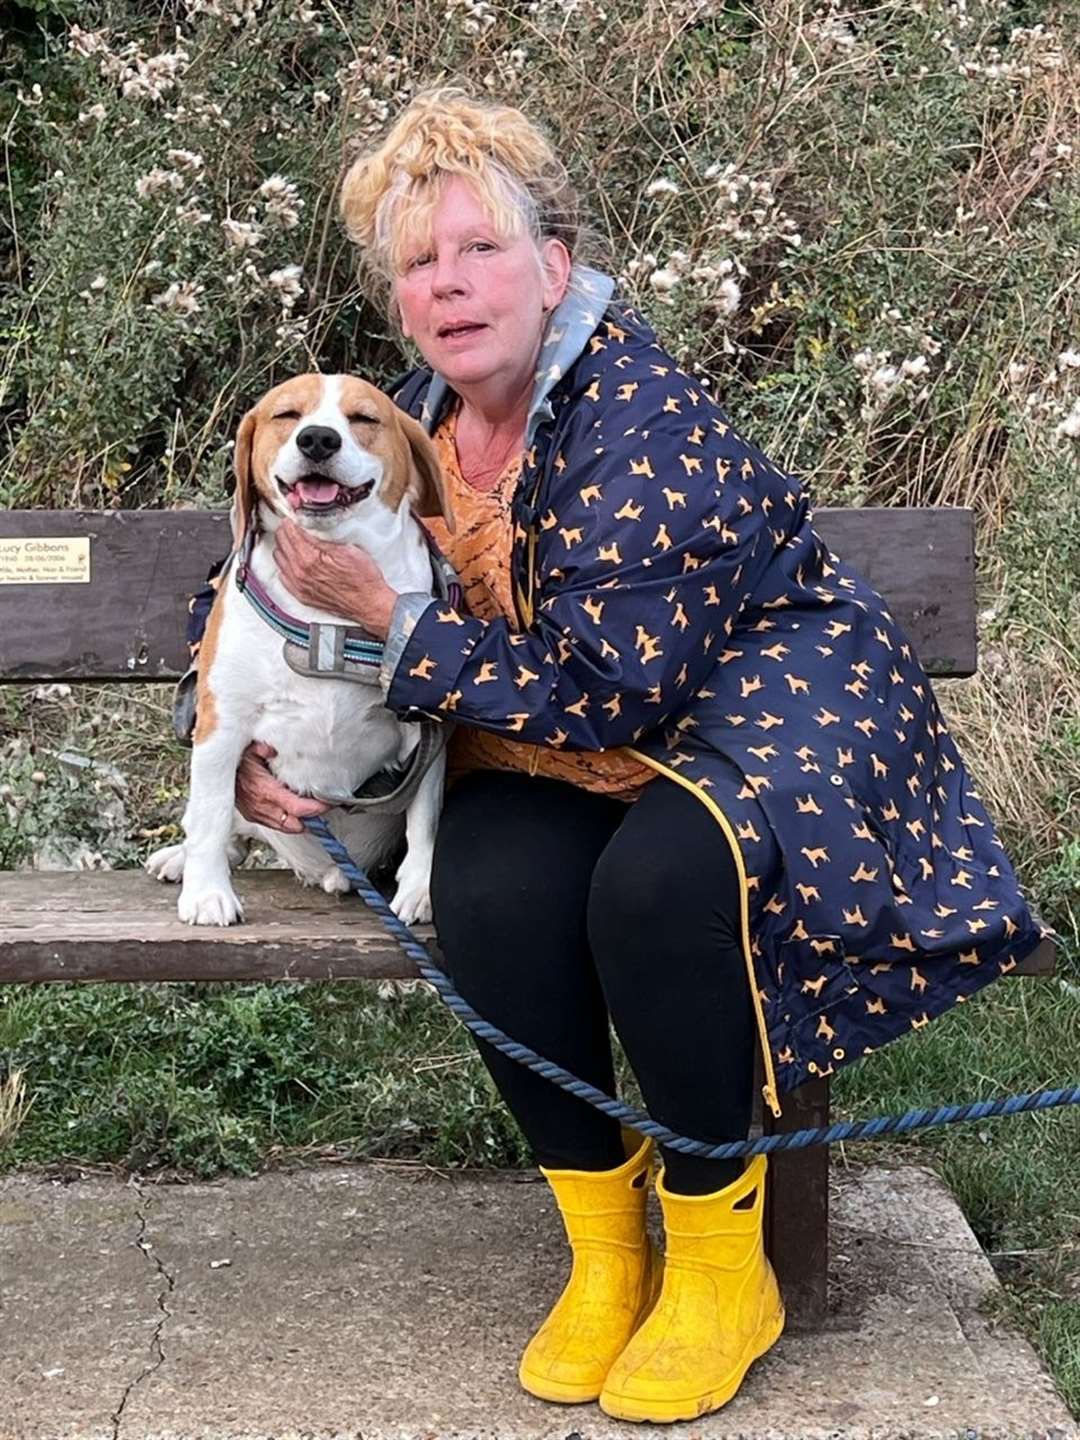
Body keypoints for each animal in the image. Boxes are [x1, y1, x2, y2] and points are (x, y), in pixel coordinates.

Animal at [146, 377, 452, 927]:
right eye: (286, 415)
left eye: (364, 419)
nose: (318, 440)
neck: (325, 620)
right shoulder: (222, 726)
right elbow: (210, 813)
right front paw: (207, 893)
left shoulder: (427, 730)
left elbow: (425, 820)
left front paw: (420, 887)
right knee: (224, 828)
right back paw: (181, 860)